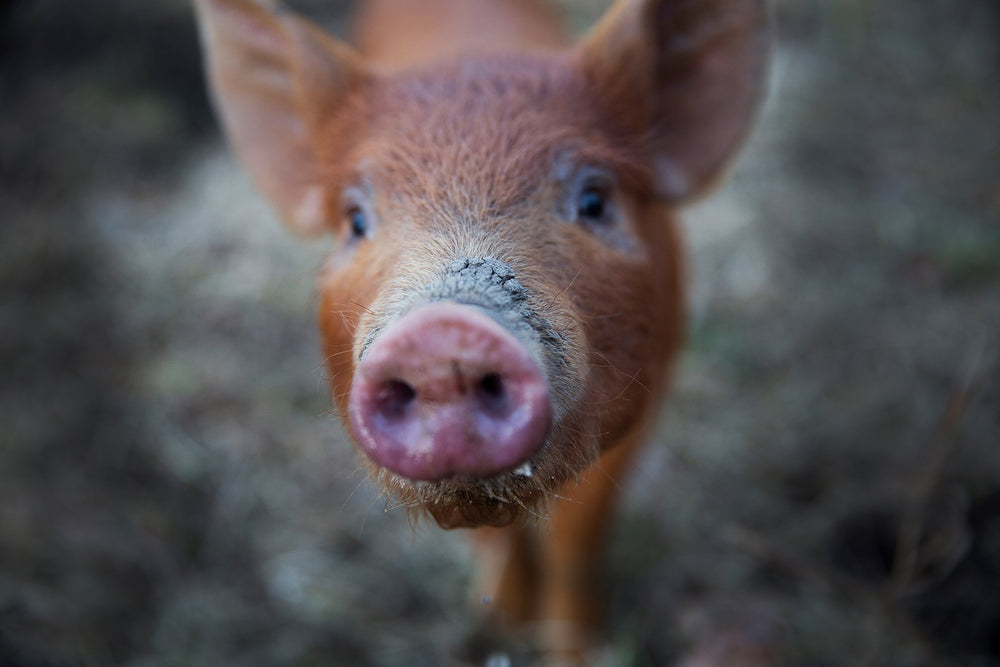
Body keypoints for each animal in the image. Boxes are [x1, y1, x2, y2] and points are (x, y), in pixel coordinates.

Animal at [195, 0, 768, 656]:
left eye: (595, 200)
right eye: (355, 220)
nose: (442, 335)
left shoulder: (649, 391)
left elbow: (578, 535)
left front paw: (573, 650)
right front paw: (501, 619)